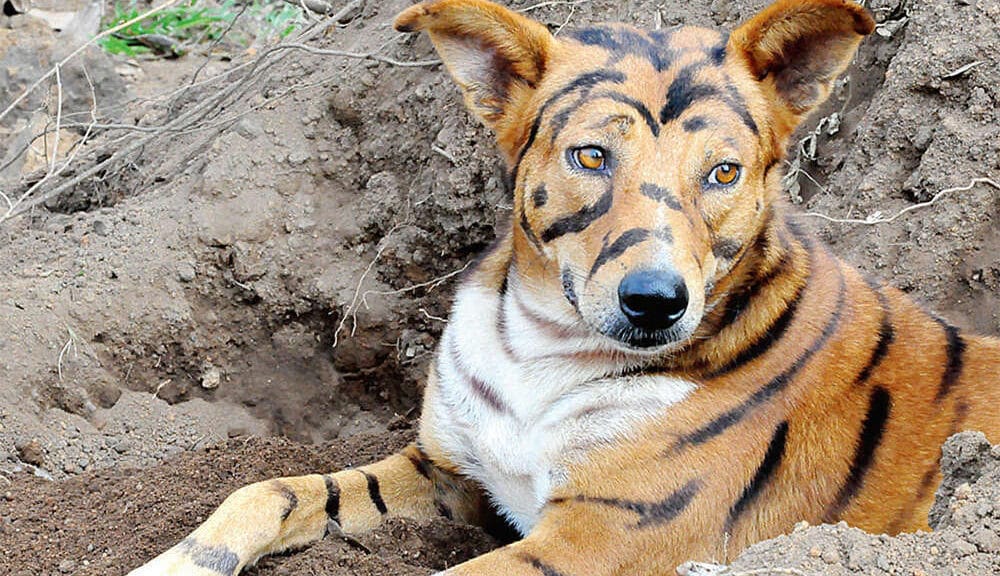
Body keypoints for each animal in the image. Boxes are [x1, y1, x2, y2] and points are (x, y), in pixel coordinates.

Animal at [129, 0, 1000, 574]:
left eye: (723, 173)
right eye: (591, 156)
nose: (655, 301)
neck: (542, 350)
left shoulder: (591, 542)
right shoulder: (450, 471)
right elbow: (272, 490)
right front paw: (182, 561)